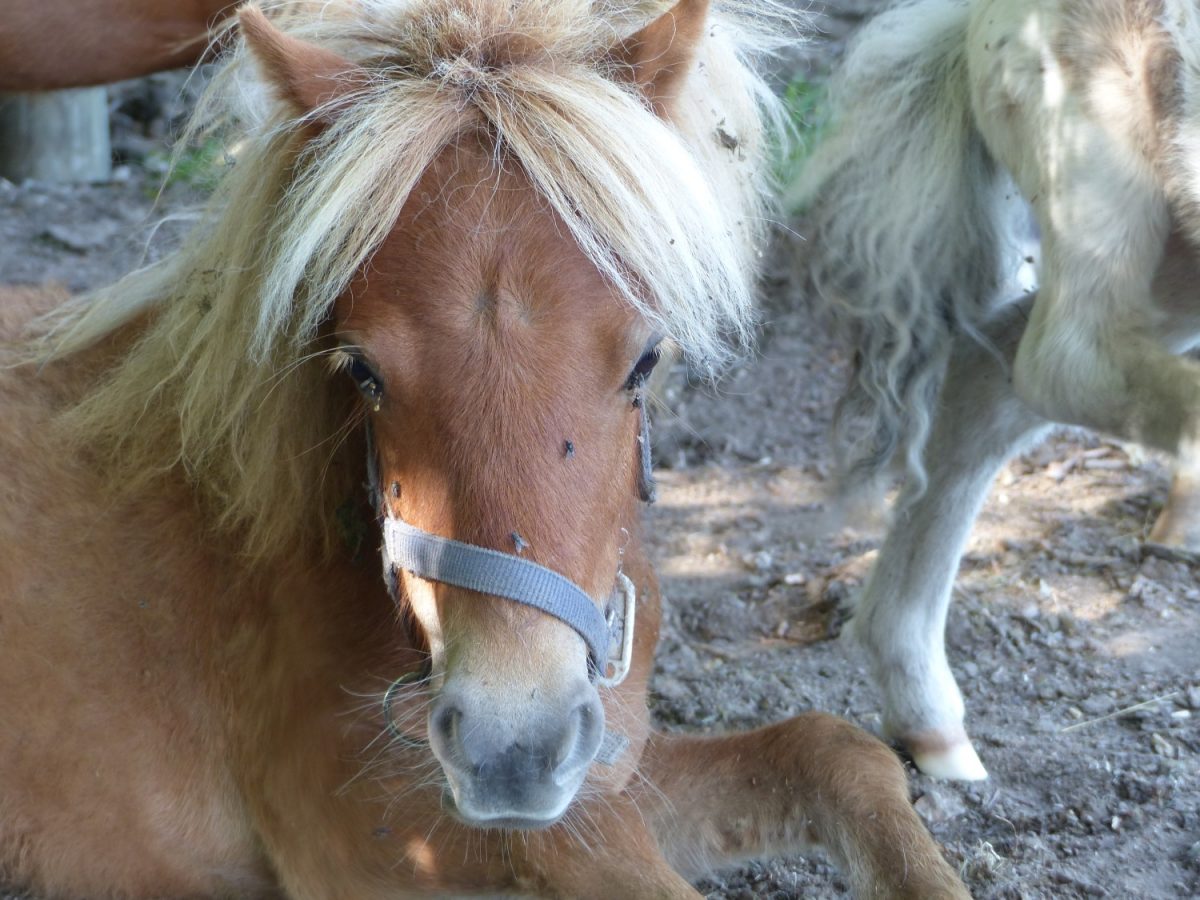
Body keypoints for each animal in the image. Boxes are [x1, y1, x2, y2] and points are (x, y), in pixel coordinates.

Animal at [0, 0, 969, 897]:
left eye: (646, 360)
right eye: (361, 369)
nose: (514, 750)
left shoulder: (609, 771)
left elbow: (832, 750)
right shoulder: (392, 848)